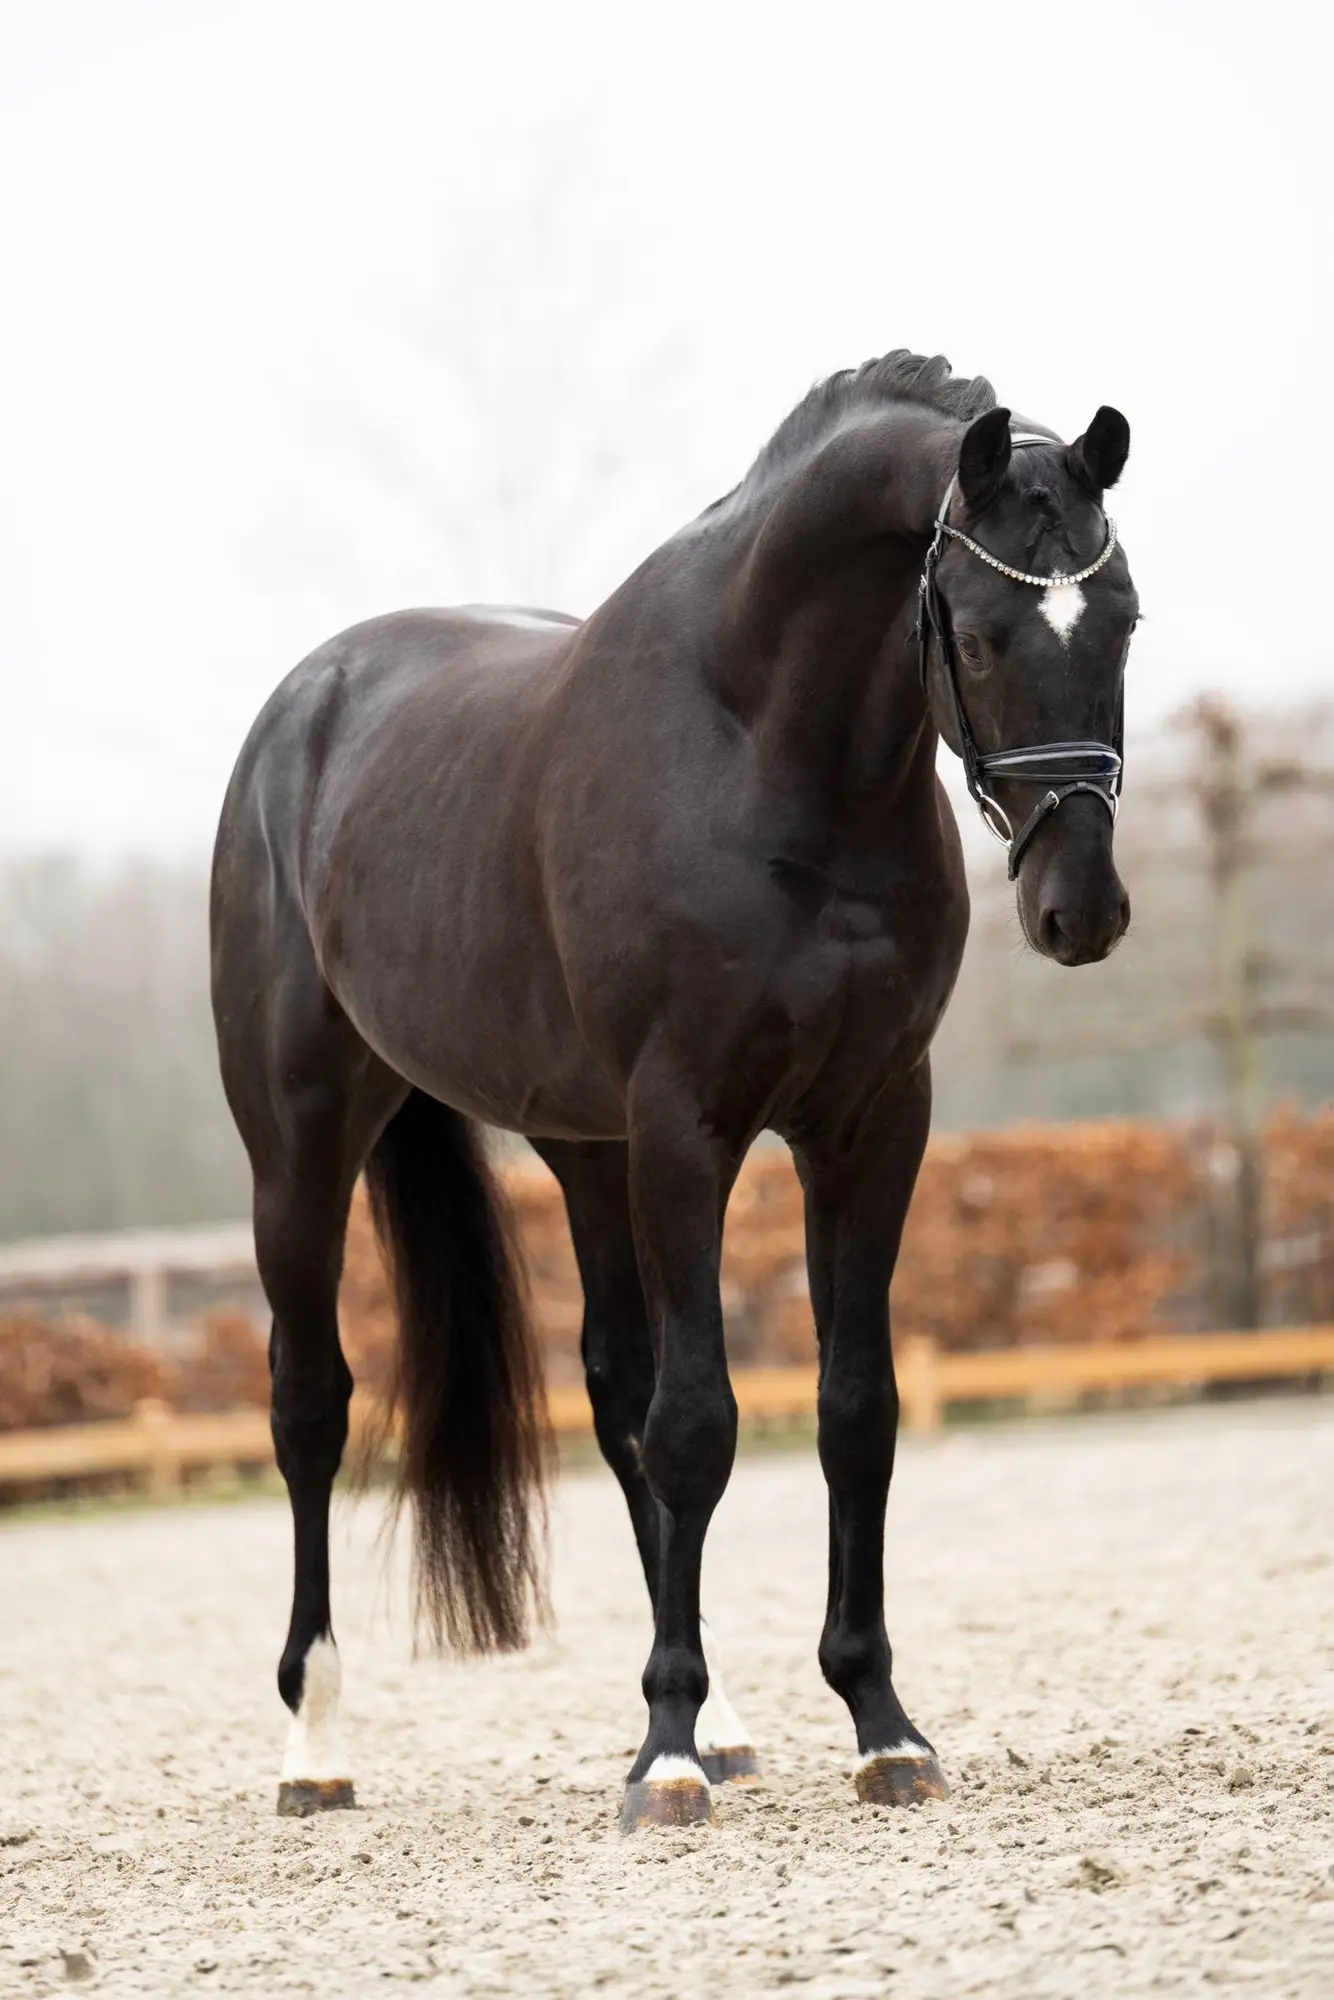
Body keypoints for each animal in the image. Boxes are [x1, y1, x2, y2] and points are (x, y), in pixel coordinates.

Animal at [210, 349, 1137, 1830]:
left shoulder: (871, 1124)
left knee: (609, 1394)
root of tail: (306, 707)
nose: (1079, 907)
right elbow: (699, 1424)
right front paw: (663, 1761)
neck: (767, 754)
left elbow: (850, 1411)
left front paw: (877, 1726)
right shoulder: (686, 1129)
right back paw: (317, 1749)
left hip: (582, 1148)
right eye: (985, 633)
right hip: (301, 1147)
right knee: (310, 1408)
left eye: (1119, 621)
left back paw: (724, 1717)